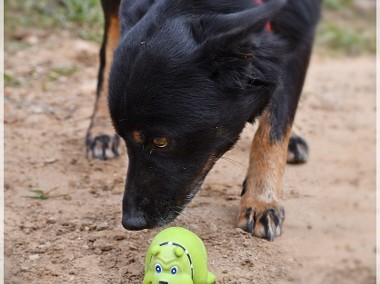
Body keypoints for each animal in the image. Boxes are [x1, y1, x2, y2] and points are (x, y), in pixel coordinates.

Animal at [86, 0, 320, 242]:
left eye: (161, 142)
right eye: (124, 137)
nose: (131, 222)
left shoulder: (301, 28)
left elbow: (276, 125)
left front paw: (261, 200)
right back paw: (100, 130)